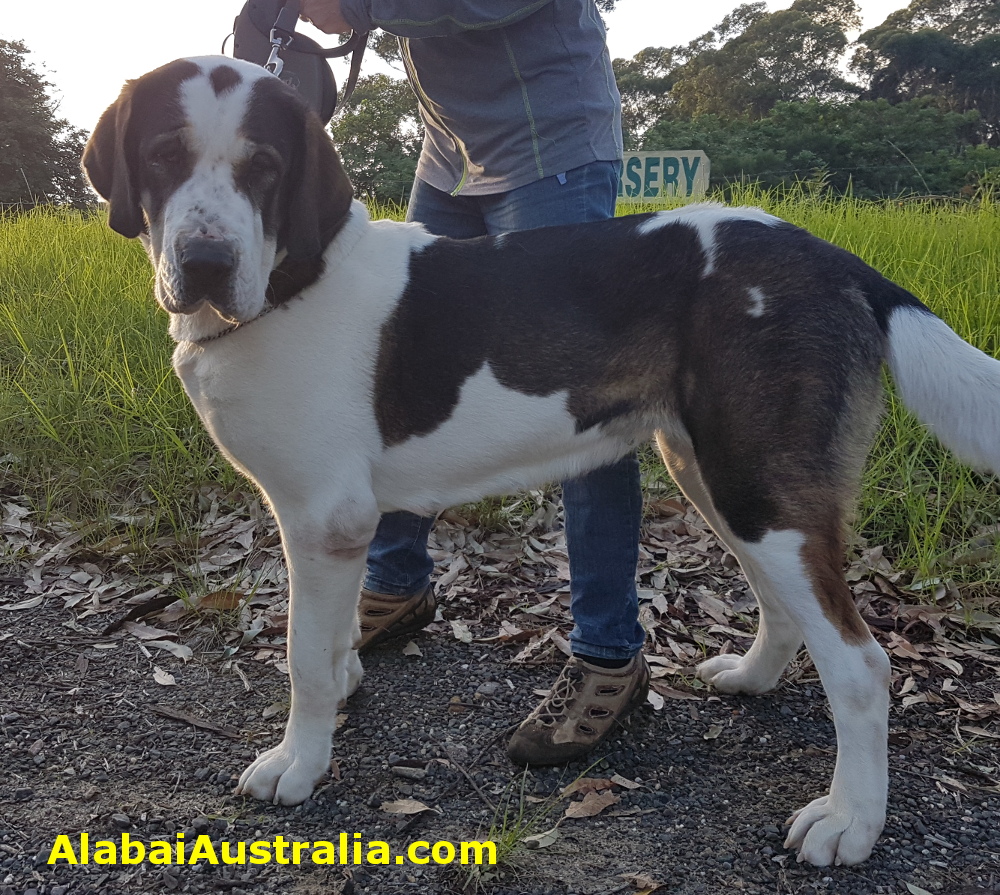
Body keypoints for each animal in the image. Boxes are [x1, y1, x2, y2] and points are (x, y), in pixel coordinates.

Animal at [82, 56, 1000, 868]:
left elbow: (302, 656)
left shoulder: (321, 517)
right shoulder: (341, 528)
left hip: (754, 482)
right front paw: (343, 687)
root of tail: (829, 255)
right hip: (710, 468)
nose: (205, 263)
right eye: (162, 157)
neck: (291, 277)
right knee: (782, 599)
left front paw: (298, 764)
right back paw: (752, 675)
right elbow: (331, 639)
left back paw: (851, 821)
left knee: (862, 663)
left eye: (264, 168)